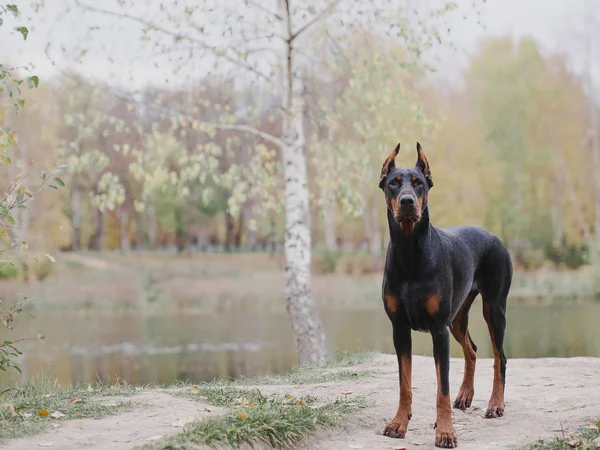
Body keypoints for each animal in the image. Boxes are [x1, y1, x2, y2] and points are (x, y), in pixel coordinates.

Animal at [380, 142, 510, 448]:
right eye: (393, 183)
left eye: (419, 183)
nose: (407, 202)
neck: (411, 254)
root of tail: (495, 237)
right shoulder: (399, 329)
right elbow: (405, 384)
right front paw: (399, 423)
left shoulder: (438, 330)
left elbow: (442, 389)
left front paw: (446, 432)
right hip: (457, 317)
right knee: (472, 350)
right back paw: (465, 396)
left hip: (494, 309)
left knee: (499, 357)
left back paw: (495, 404)